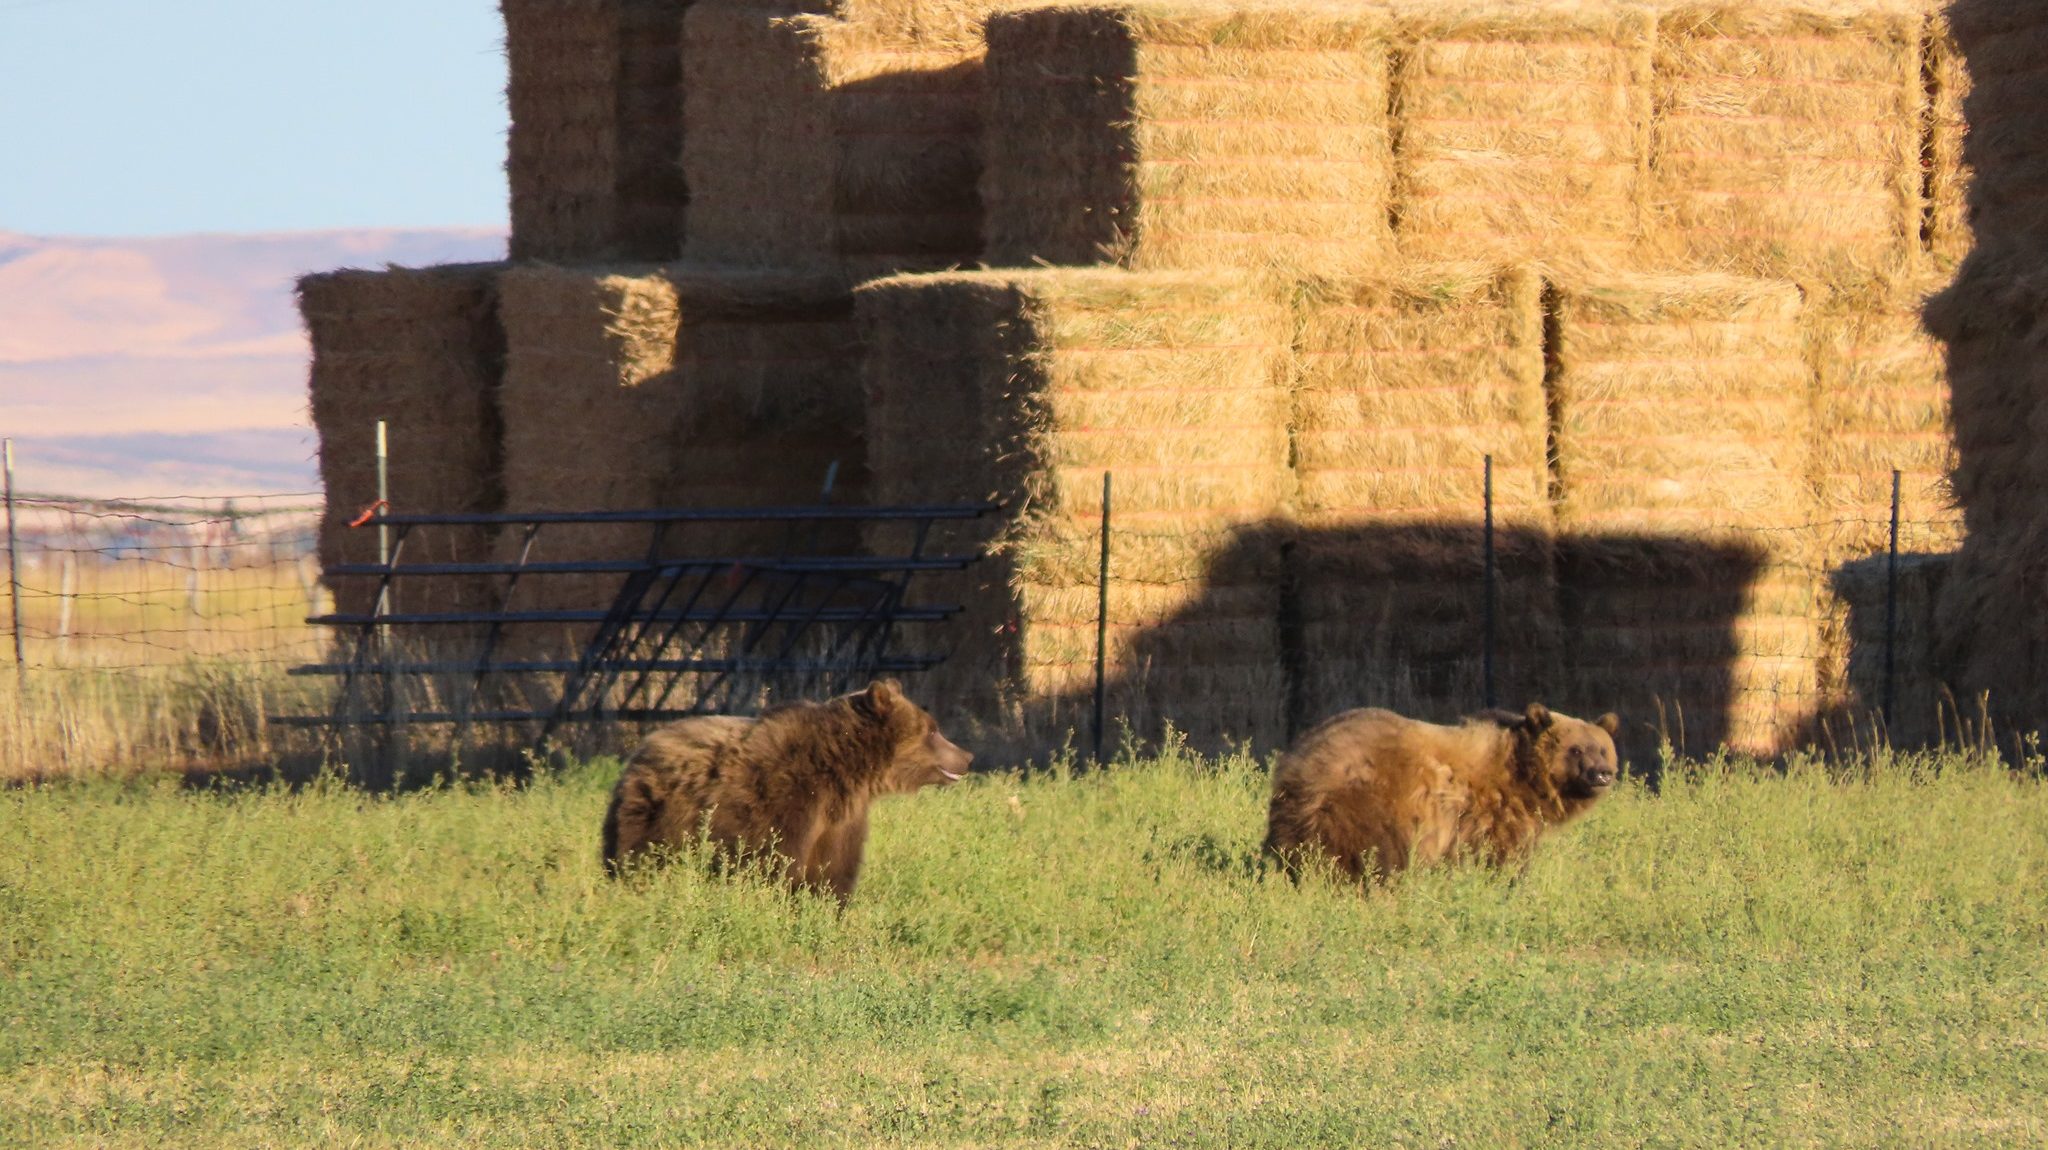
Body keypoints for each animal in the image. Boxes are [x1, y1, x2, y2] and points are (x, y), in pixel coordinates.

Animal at [600, 679, 973, 901]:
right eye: (932, 730)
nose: (967, 757)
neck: (843, 769)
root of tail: (640, 751)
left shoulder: (838, 818)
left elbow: (833, 869)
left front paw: (824, 906)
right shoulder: (783, 799)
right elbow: (772, 860)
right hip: (655, 813)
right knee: (637, 857)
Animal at [1264, 702, 1619, 883]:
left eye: (1602, 748)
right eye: (1576, 749)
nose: (1603, 773)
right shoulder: (1492, 811)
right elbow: (1502, 855)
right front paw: (1507, 883)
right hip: (1369, 801)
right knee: (1374, 853)